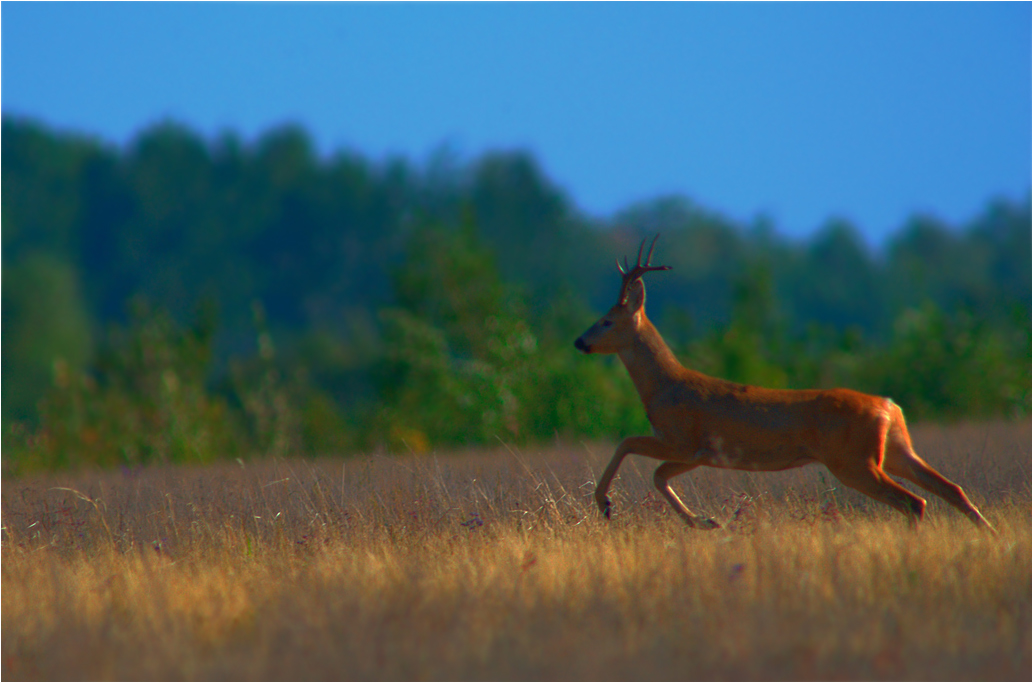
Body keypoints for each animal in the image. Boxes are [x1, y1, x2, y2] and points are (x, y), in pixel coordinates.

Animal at [578, 235, 995, 533]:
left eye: (606, 321)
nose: (579, 341)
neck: (663, 387)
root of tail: (889, 406)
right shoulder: (700, 452)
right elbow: (658, 475)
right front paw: (706, 522)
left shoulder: (684, 439)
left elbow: (629, 445)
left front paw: (605, 503)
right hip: (894, 450)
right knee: (950, 489)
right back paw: (989, 536)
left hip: (853, 460)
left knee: (913, 502)